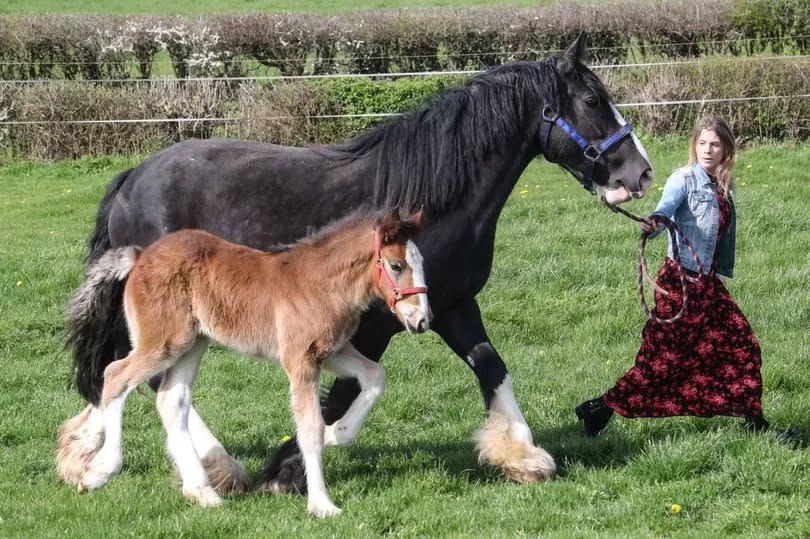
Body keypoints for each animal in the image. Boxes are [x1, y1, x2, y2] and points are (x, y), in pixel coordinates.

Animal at [60, 209, 430, 516]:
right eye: (396, 266)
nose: (422, 320)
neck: (320, 284)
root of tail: (139, 256)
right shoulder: (300, 360)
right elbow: (309, 428)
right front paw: (322, 504)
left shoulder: (334, 351)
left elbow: (375, 375)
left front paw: (338, 432)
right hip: (164, 342)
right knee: (115, 376)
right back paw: (99, 472)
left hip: (192, 343)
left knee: (171, 399)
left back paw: (203, 492)